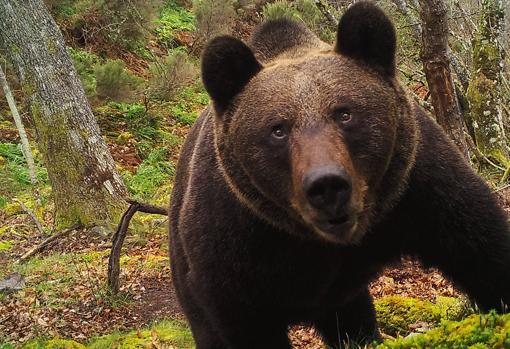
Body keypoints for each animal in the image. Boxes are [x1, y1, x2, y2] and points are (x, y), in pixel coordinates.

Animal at [169, 1, 510, 346]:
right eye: (277, 129)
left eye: (345, 113)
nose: (327, 185)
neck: (327, 244)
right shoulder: (236, 242)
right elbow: (243, 320)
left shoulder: (416, 187)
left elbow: (481, 246)